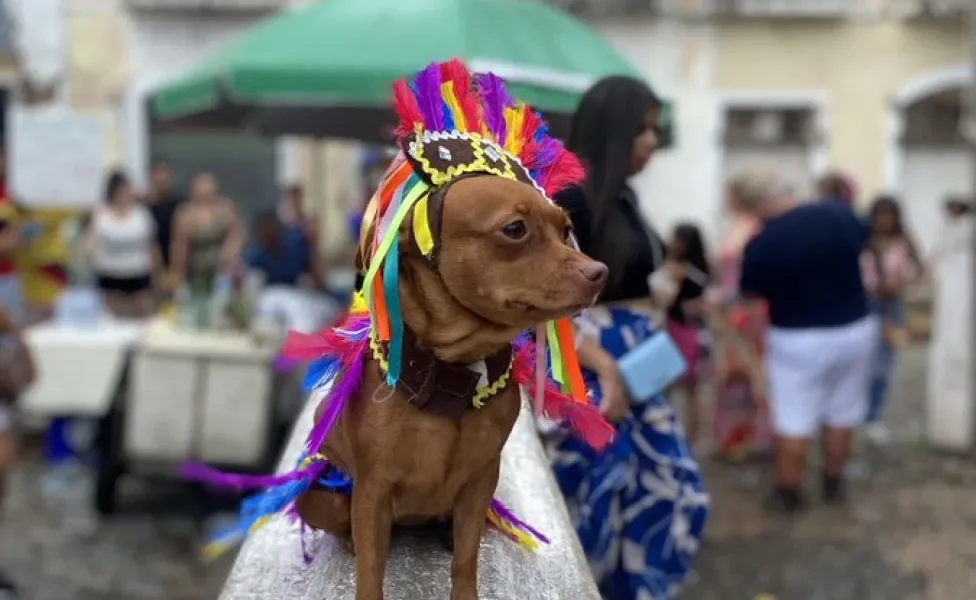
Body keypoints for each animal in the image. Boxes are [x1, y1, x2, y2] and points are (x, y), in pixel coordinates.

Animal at [294, 175, 608, 600]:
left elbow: (465, 559)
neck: (457, 370)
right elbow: (371, 572)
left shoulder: (479, 482)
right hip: (319, 495)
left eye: (566, 230)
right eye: (515, 229)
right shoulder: (373, 491)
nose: (599, 271)